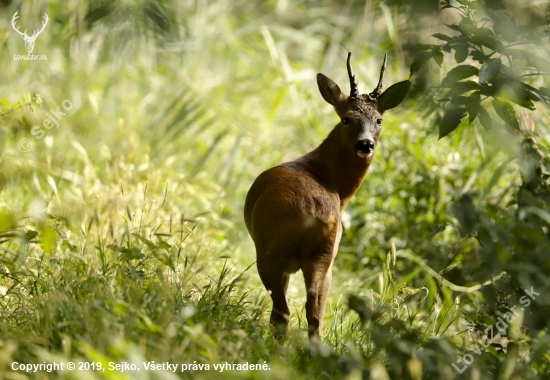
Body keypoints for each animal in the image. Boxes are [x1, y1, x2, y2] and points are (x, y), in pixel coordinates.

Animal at [244, 51, 412, 338]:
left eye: (379, 120)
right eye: (347, 119)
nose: (365, 144)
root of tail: (310, 209)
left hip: (271, 250)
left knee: (284, 311)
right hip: (323, 252)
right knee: (313, 311)